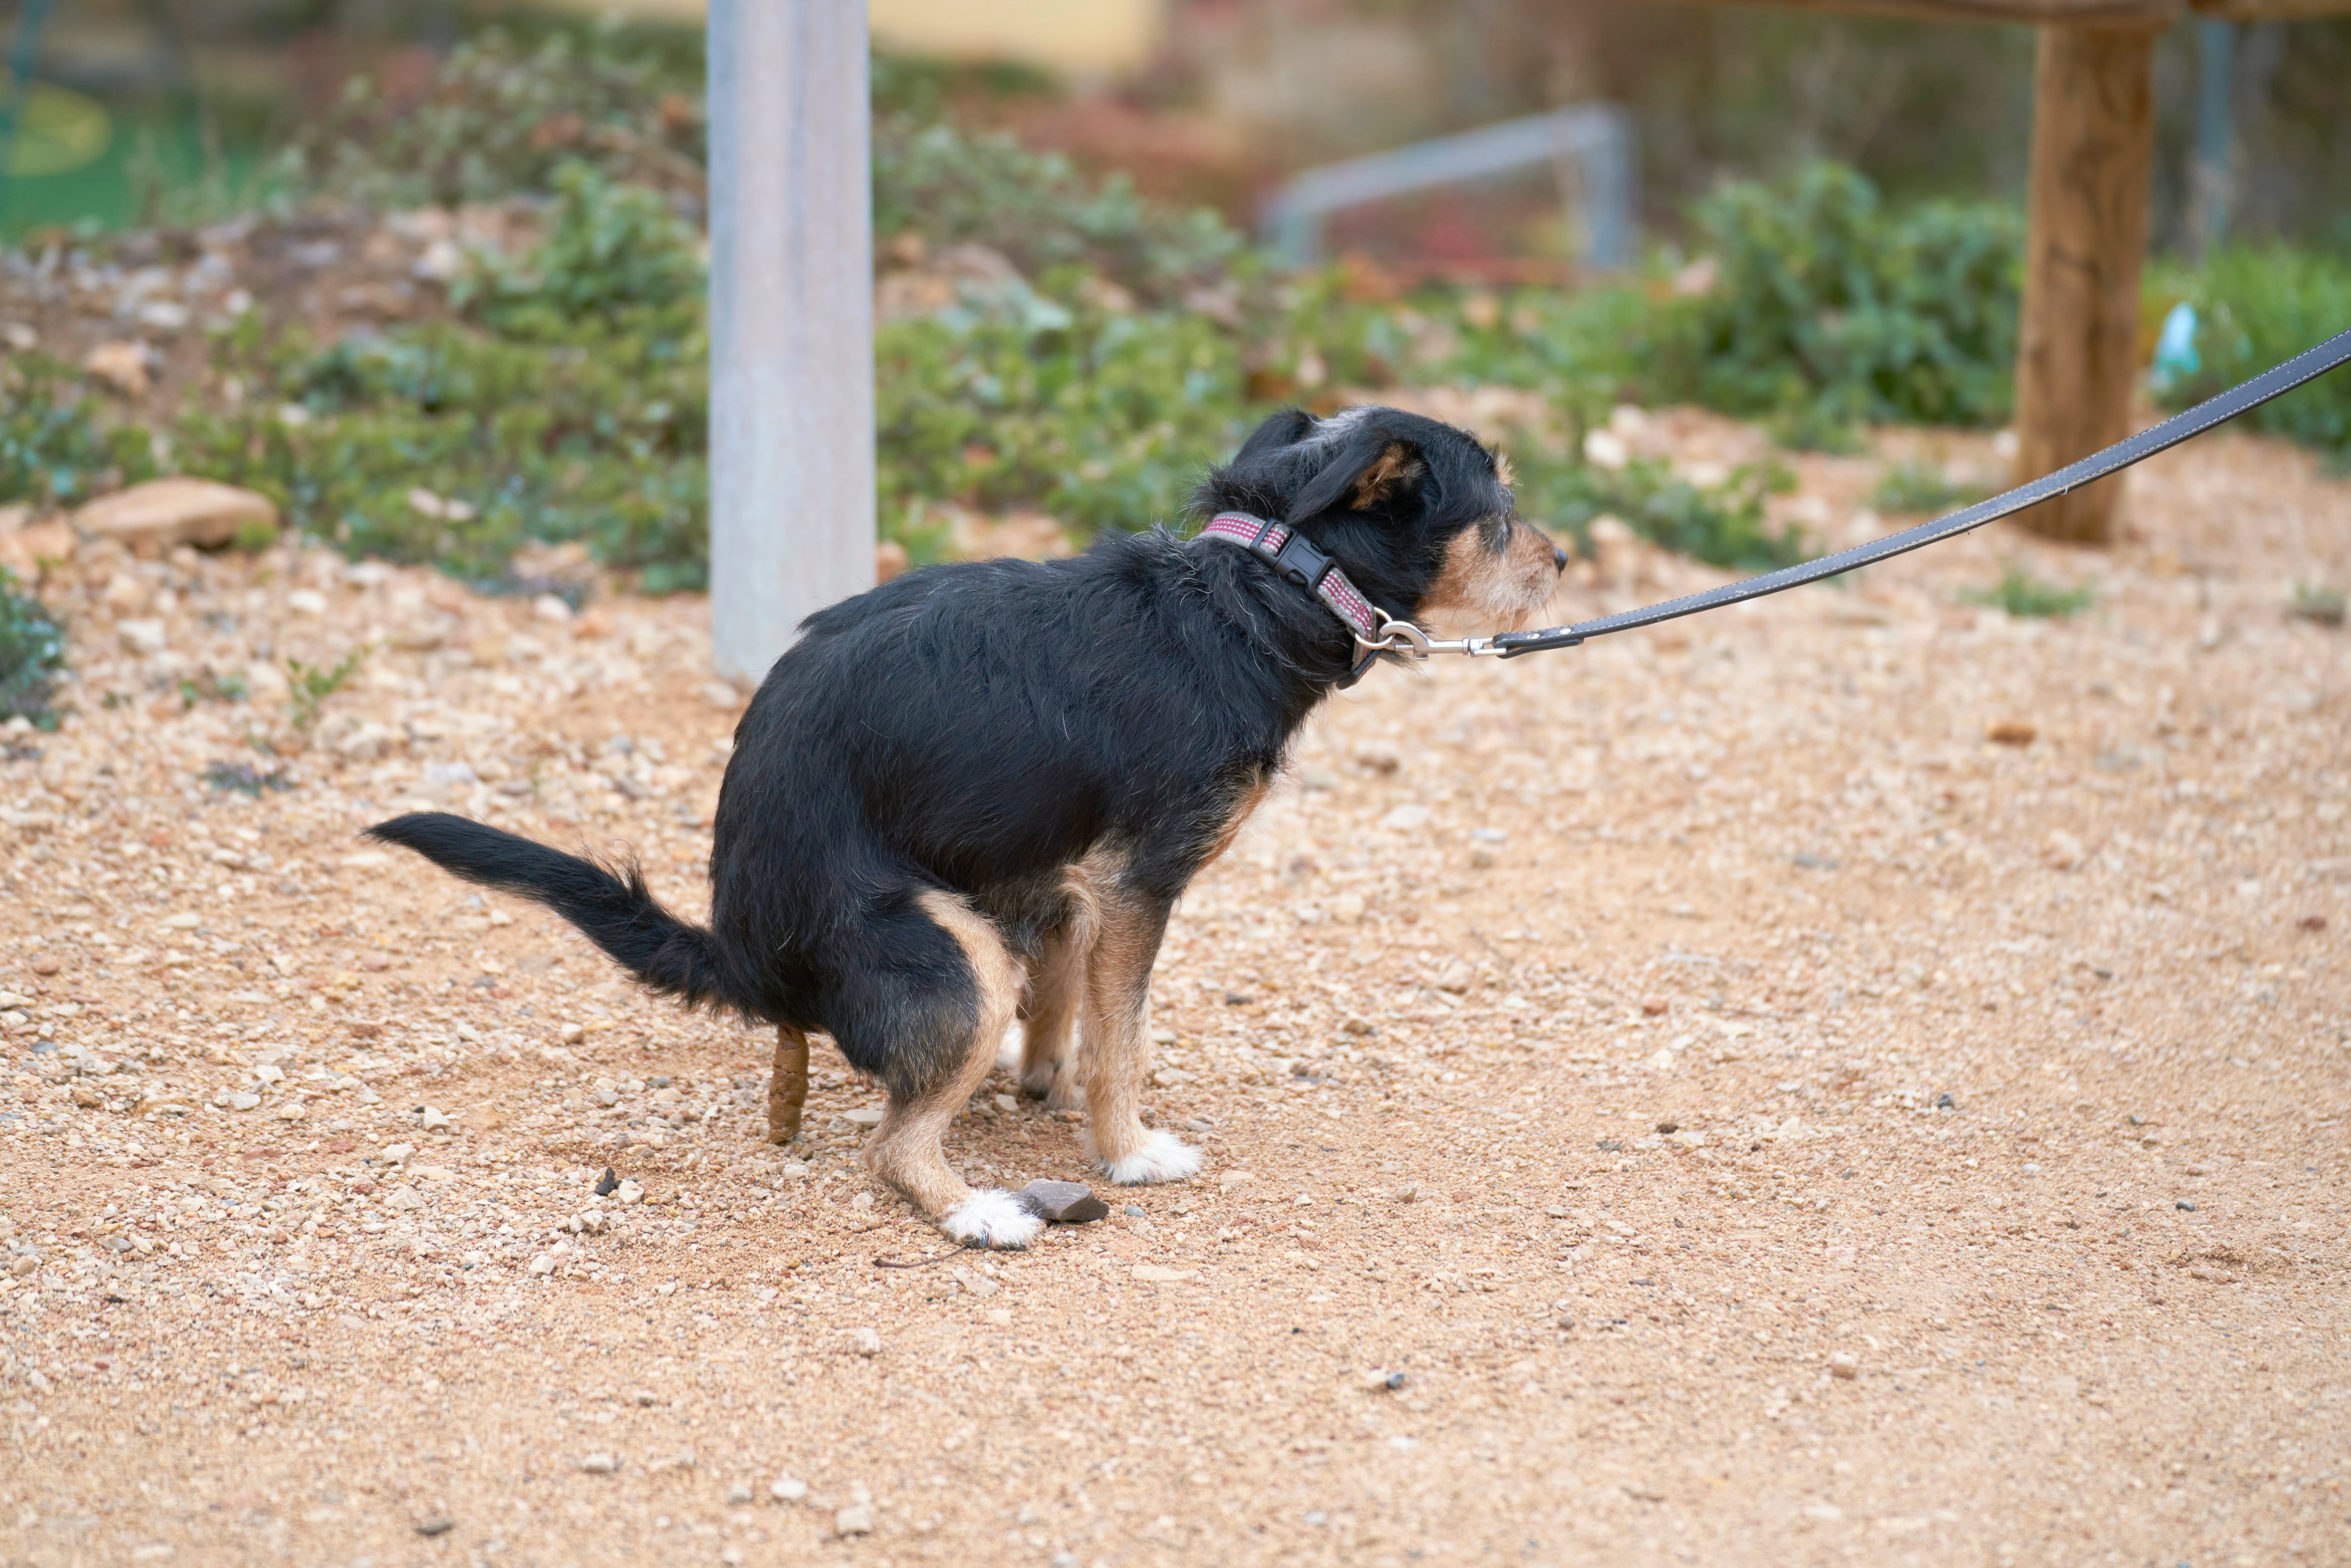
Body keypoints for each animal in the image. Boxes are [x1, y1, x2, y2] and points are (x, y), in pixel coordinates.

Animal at [367, 404, 1570, 1251]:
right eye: (1498, 507)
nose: (1564, 561)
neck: (1260, 582)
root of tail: (748, 954)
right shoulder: (1141, 881)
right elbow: (1123, 1041)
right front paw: (1126, 1150)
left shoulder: (1068, 878)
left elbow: (1076, 1007)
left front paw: (1051, 1084)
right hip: (955, 959)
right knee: (894, 1147)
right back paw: (978, 1210)